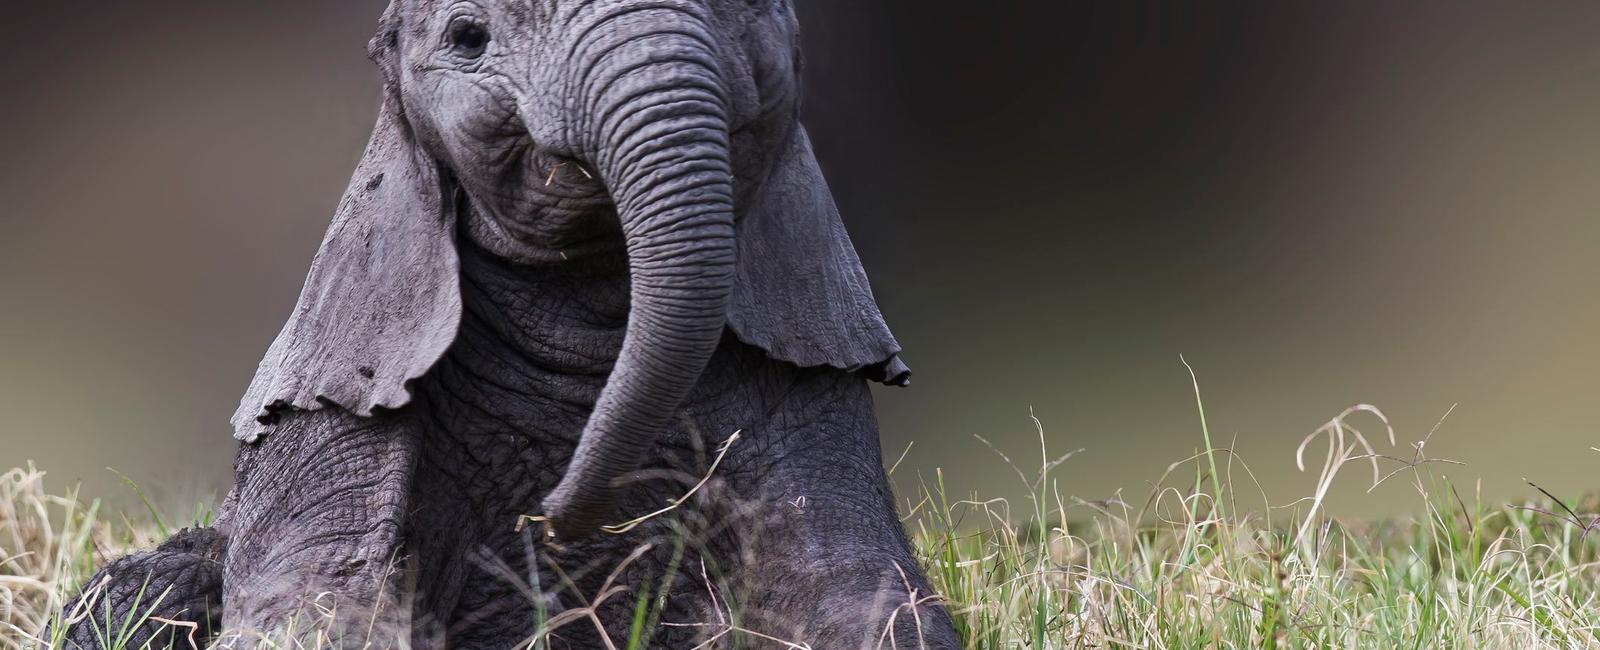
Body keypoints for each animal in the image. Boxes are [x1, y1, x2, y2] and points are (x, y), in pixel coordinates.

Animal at [62, 1, 953, 650]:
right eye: (469, 37)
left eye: (752, 14)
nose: (554, 515)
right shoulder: (328, 414)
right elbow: (316, 605)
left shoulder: (818, 392)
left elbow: (865, 601)